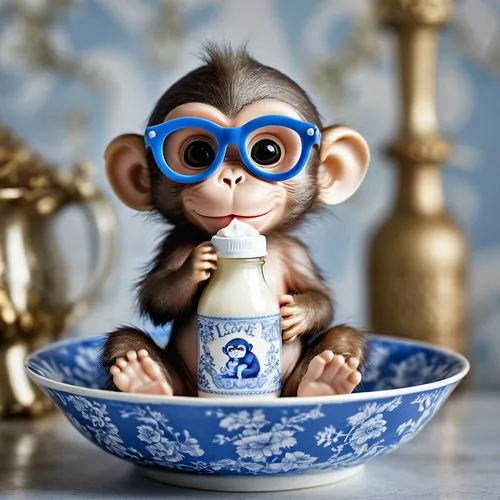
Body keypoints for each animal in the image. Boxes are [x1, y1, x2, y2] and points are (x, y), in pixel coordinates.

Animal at [102, 47, 368, 398]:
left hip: (288, 389)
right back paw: (142, 377)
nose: (231, 177)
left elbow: (321, 296)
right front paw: (196, 264)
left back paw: (326, 377)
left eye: (266, 151)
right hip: (186, 389)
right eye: (198, 153)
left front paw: (299, 311)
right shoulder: (175, 244)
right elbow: (156, 295)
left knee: (342, 339)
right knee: (126, 343)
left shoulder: (293, 251)